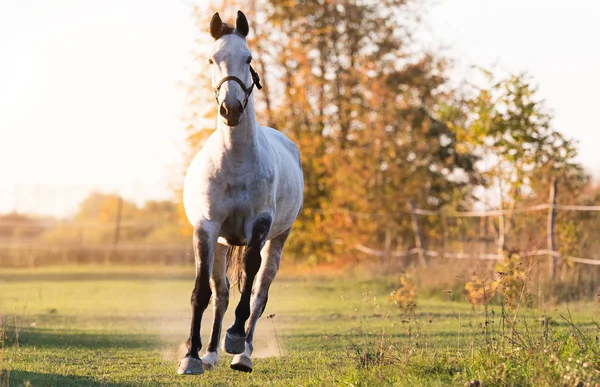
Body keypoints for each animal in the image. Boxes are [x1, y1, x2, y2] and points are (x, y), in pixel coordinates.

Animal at [176, 10, 302, 376]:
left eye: (248, 59)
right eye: (211, 59)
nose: (231, 108)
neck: (234, 162)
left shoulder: (259, 226)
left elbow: (249, 277)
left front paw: (234, 337)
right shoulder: (206, 228)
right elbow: (202, 292)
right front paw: (191, 356)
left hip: (279, 239)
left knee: (259, 294)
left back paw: (242, 353)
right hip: (220, 243)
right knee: (220, 294)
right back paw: (210, 354)